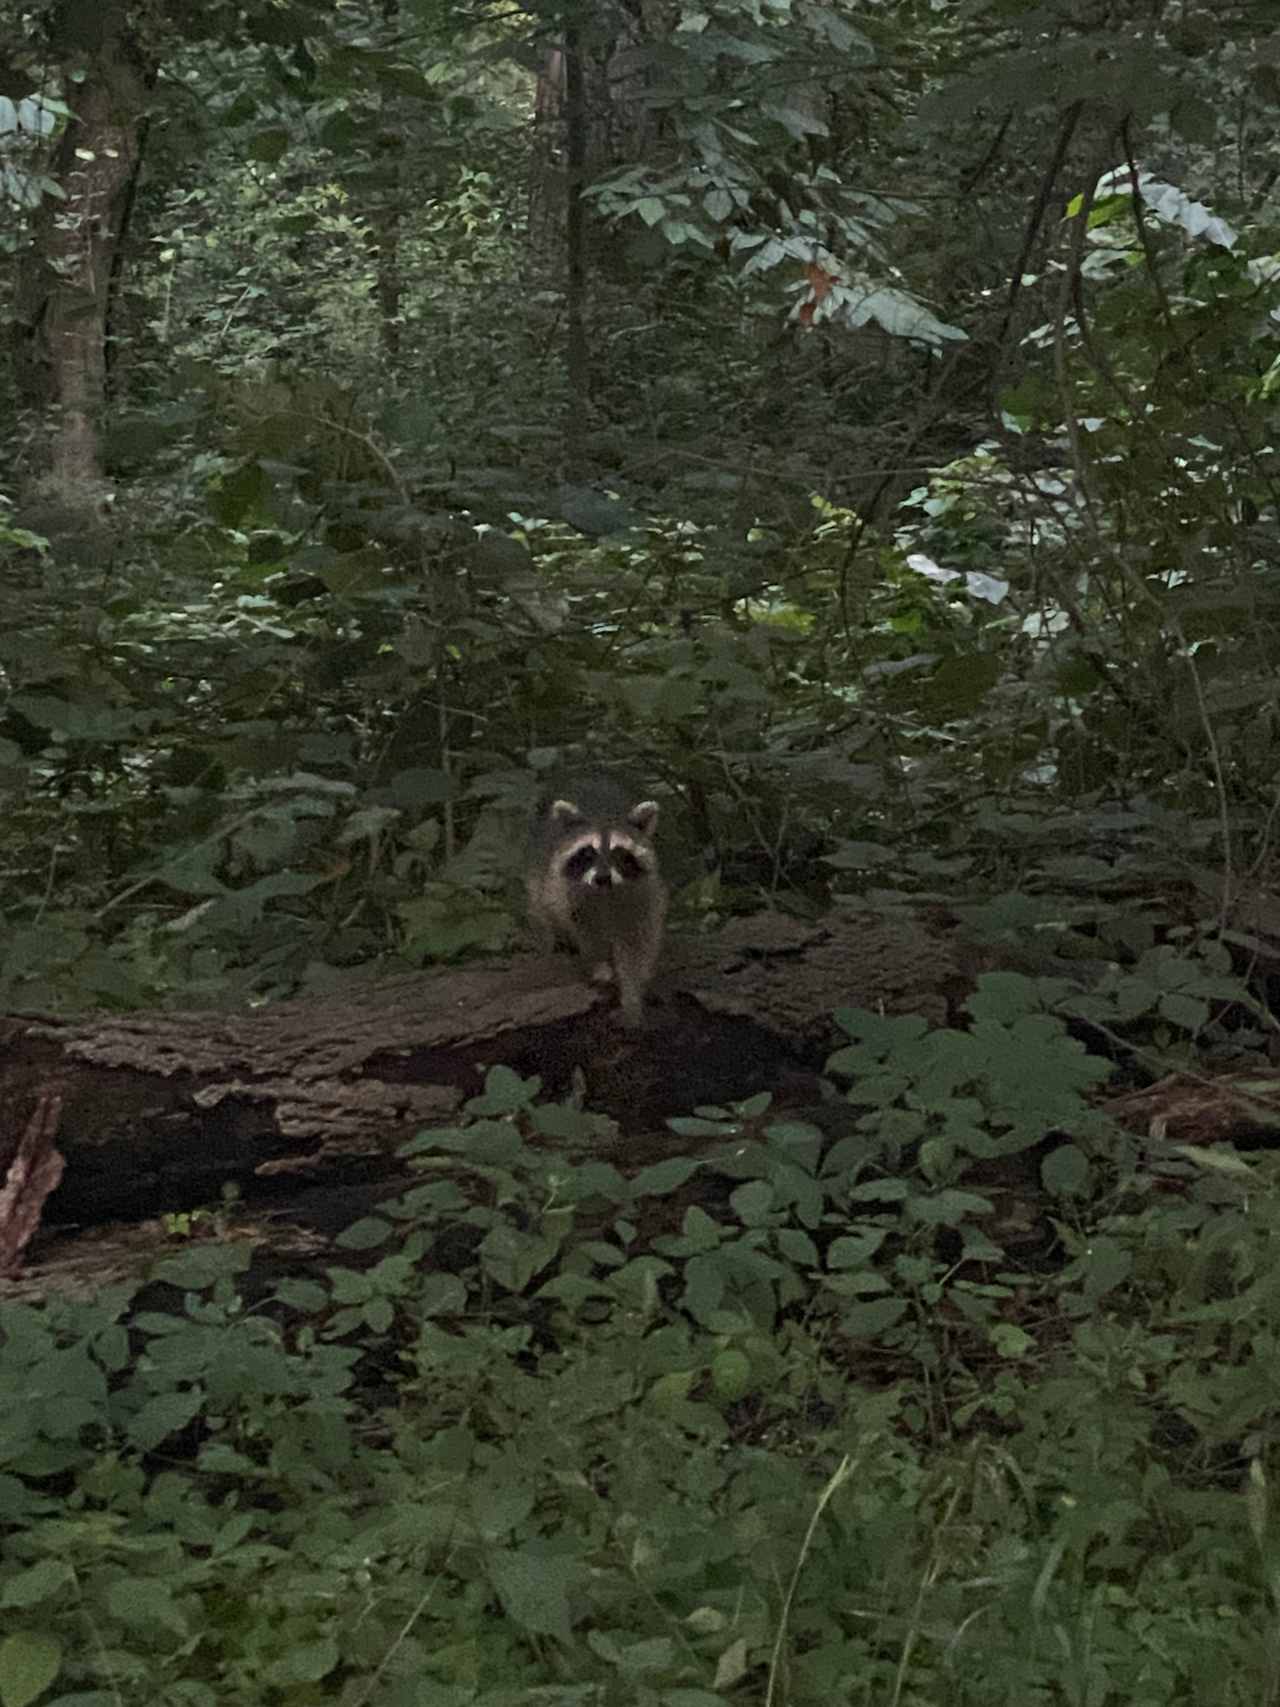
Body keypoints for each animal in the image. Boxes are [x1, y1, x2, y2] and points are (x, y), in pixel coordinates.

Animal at [529, 778, 672, 1024]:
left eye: (618, 853)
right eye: (588, 853)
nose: (603, 878)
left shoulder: (643, 894)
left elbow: (636, 942)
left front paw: (632, 993)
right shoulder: (569, 893)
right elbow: (585, 932)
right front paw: (599, 965)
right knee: (544, 913)